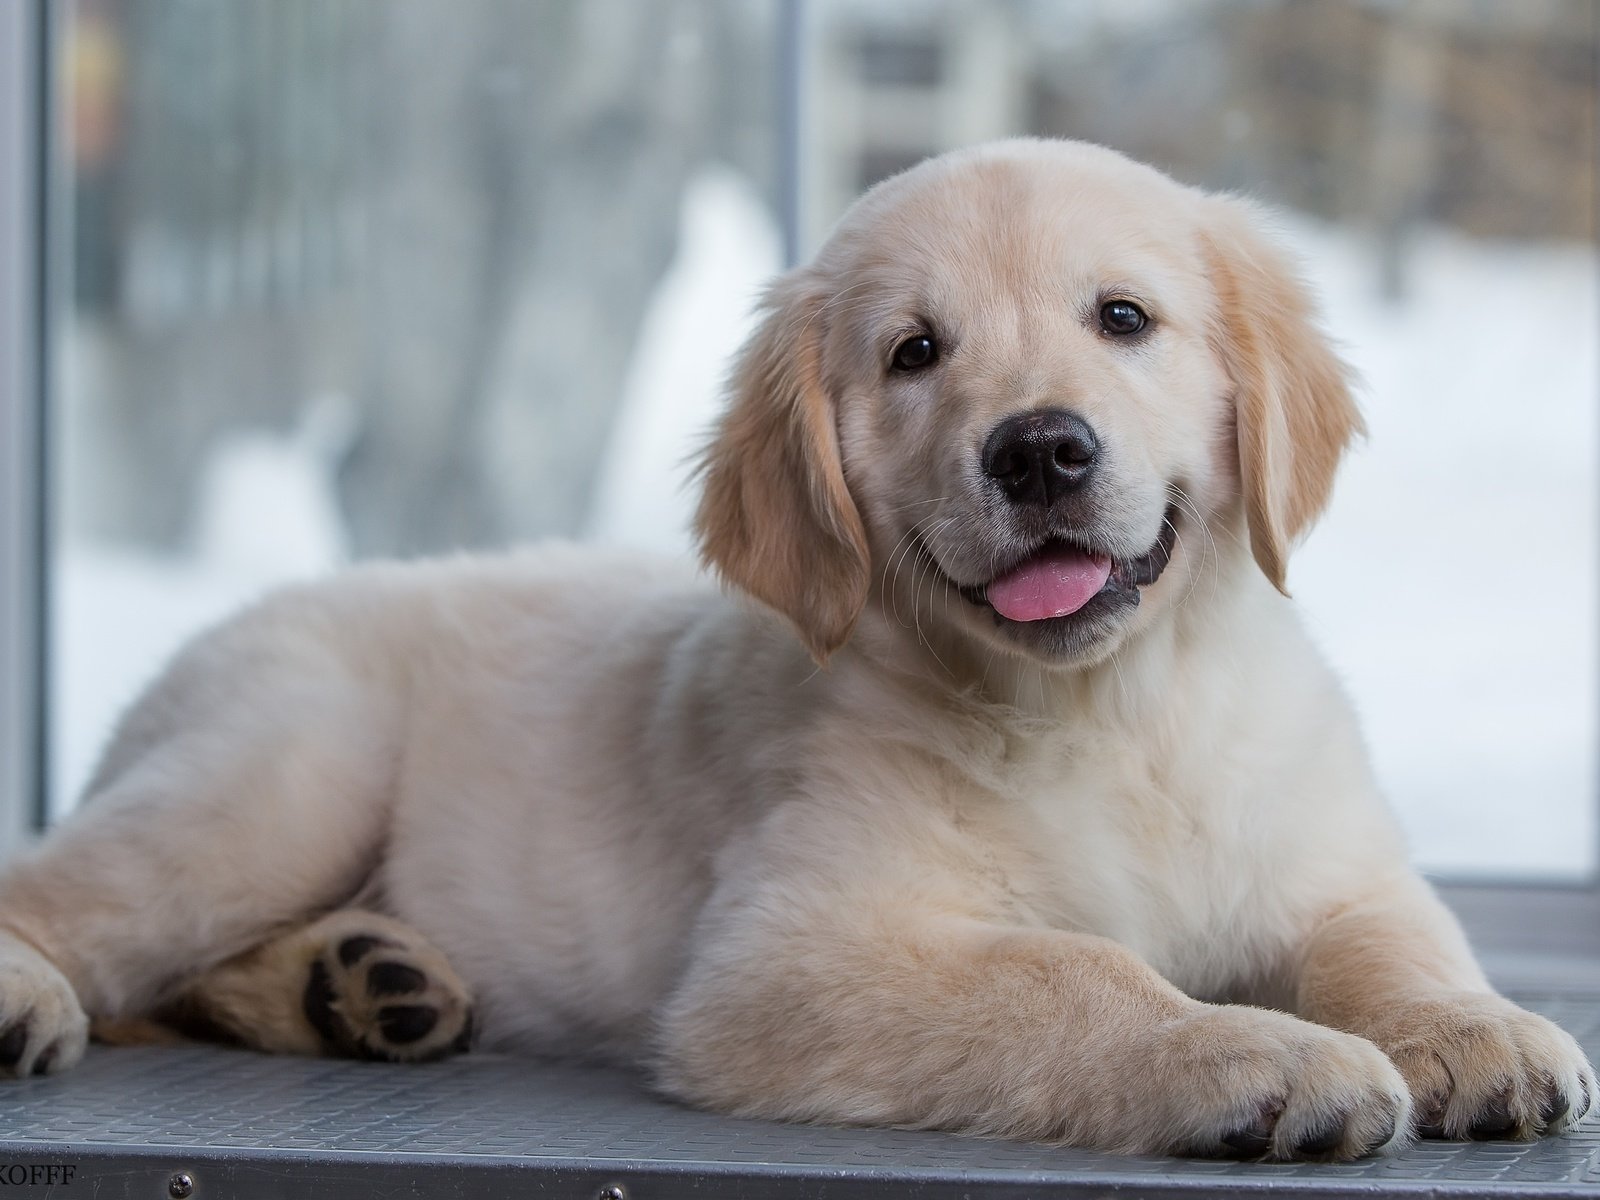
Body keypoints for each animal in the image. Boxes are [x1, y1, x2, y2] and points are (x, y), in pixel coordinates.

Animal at [0, 140, 1587, 1164]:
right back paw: (55, 995)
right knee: (81, 907)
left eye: (1124, 318)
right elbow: (1074, 973)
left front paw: (1473, 1029)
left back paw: (364, 986)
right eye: (915, 354)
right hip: (279, 775)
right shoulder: (788, 959)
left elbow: (1394, 936)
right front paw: (1257, 1054)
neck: (1107, 709)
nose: (1040, 450)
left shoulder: (1328, 856)